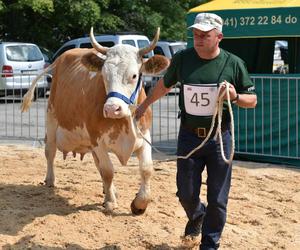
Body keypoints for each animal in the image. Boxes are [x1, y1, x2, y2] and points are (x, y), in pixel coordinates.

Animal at [21, 27, 169, 215]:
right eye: (104, 75)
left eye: (134, 75)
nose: (112, 109)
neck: (123, 121)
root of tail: (61, 58)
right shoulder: (98, 140)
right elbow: (108, 171)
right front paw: (110, 202)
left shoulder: (144, 136)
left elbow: (146, 169)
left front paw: (139, 203)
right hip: (52, 119)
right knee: (50, 152)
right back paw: (50, 179)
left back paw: (109, 190)